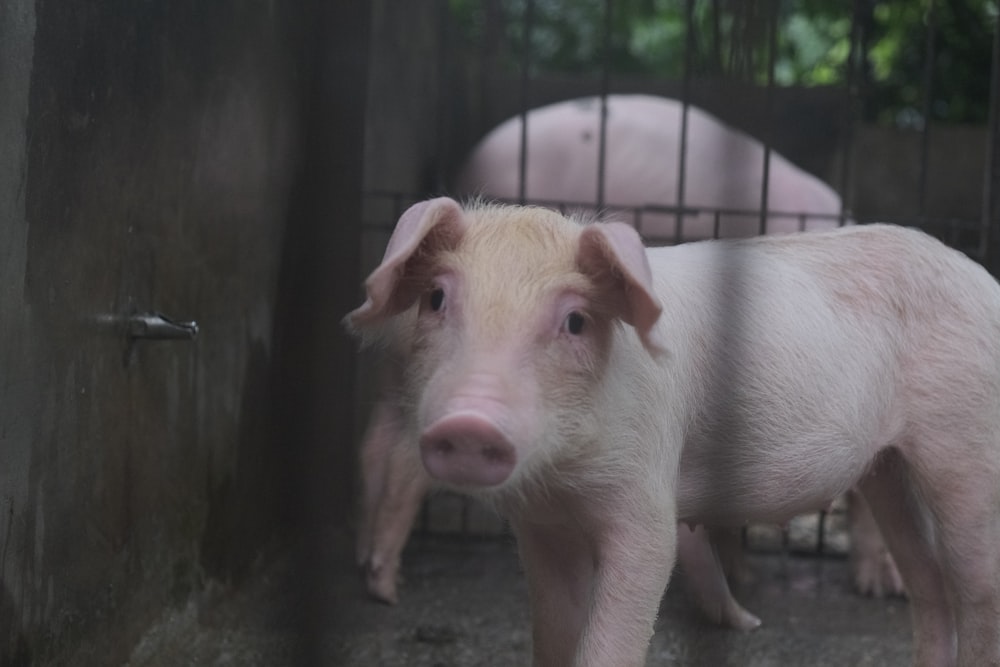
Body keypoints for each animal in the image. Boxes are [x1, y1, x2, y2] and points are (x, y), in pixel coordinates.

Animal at [348, 198, 1000, 667]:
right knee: (929, 585)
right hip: (889, 468)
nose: (468, 421)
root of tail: (983, 281)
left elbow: (623, 616)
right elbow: (554, 633)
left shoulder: (647, 496)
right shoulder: (540, 525)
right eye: (436, 298)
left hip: (966, 440)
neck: (565, 475)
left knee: (975, 588)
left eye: (575, 320)